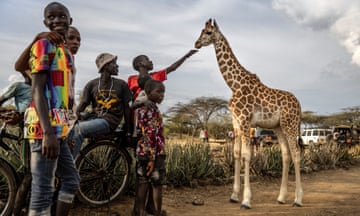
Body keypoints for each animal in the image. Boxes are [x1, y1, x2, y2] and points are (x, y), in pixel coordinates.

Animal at [195, 19, 302, 209]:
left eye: (208, 32)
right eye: (201, 30)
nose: (196, 43)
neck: (234, 84)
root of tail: (299, 105)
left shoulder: (245, 120)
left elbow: (246, 155)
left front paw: (246, 200)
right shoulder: (236, 122)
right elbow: (237, 154)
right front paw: (234, 195)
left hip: (290, 125)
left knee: (296, 154)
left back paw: (298, 199)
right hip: (278, 127)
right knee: (285, 155)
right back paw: (281, 197)